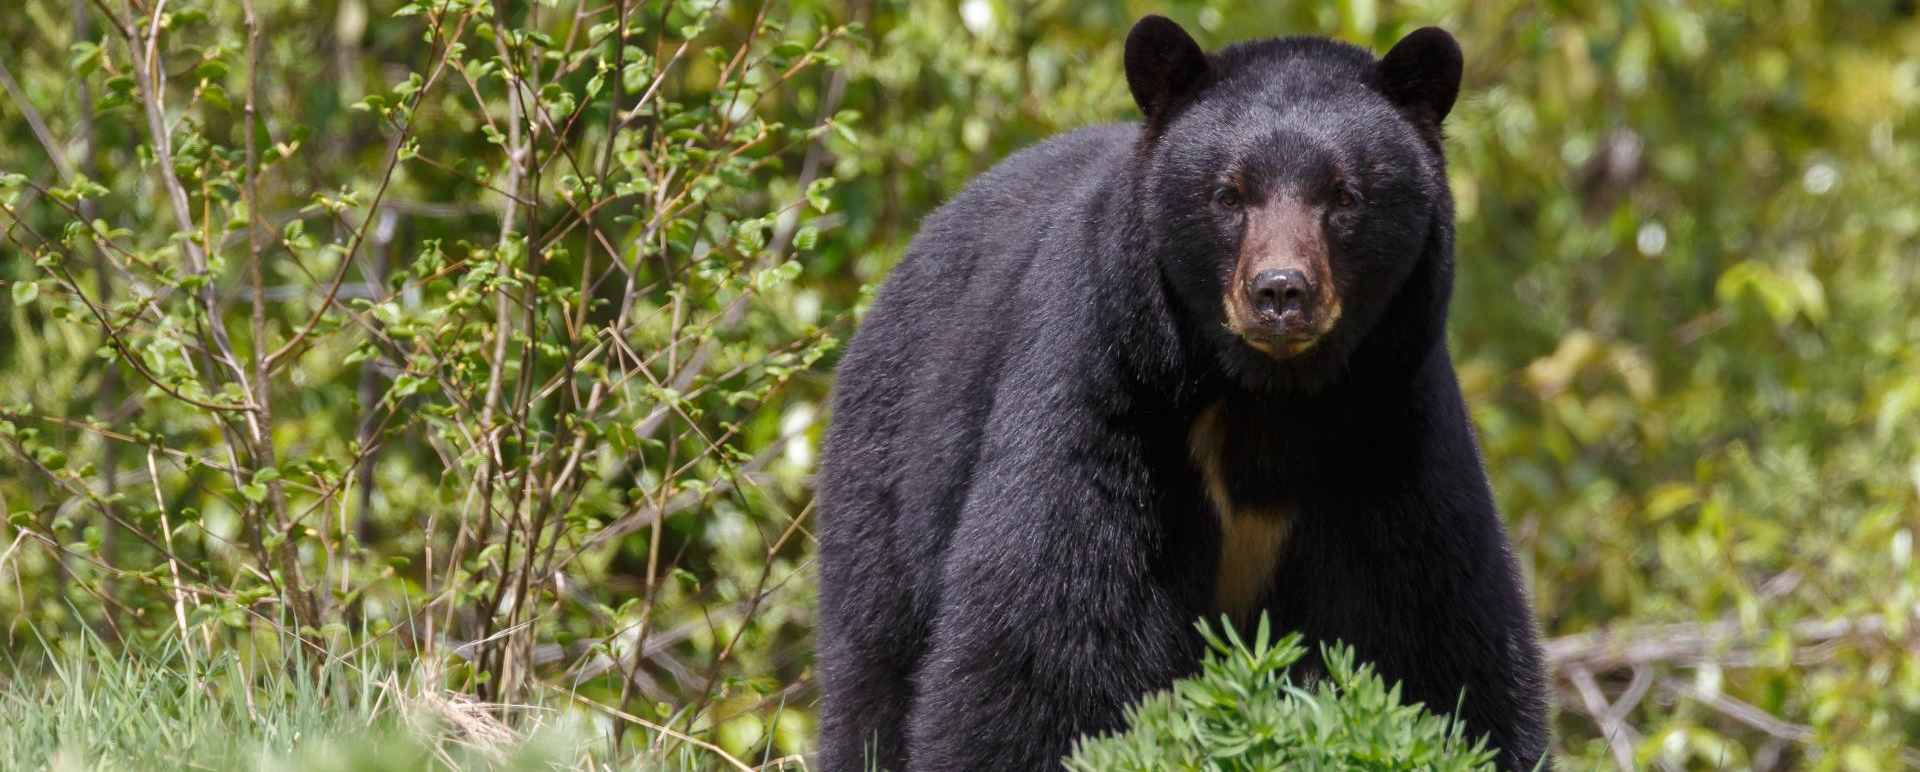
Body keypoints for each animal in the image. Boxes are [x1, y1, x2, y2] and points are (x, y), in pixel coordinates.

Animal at [815, 16, 1550, 772]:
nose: (1280, 293)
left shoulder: (1389, 425)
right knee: (874, 660)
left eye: (1344, 197)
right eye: (1229, 194)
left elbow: (1434, 632)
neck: (1266, 396)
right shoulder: (1108, 390)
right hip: (892, 467)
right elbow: (1048, 631)